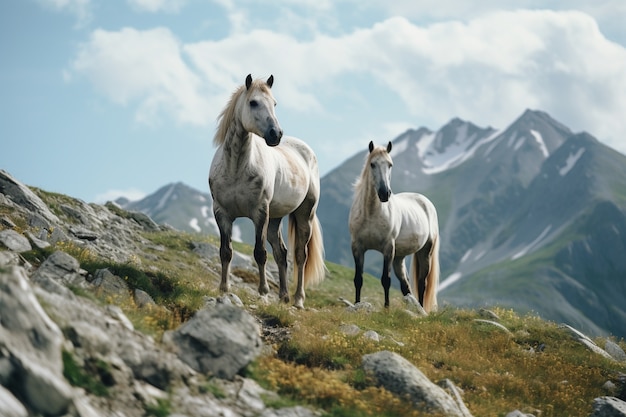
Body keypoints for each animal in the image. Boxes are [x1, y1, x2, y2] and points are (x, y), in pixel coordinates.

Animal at [210, 74, 324, 308]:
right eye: (253, 102)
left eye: (274, 104)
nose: (276, 134)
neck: (235, 169)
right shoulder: (221, 213)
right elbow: (226, 251)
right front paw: (224, 288)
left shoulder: (259, 213)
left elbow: (260, 253)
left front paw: (262, 291)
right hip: (275, 219)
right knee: (281, 253)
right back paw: (283, 296)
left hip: (304, 215)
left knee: (300, 255)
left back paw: (298, 300)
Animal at [346, 141, 438, 310]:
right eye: (372, 164)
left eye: (390, 165)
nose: (384, 193)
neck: (371, 214)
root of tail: (425, 201)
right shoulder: (357, 247)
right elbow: (358, 279)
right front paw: (357, 304)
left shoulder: (388, 248)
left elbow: (385, 280)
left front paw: (387, 308)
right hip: (399, 258)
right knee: (406, 286)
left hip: (425, 251)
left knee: (422, 283)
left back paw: (422, 309)